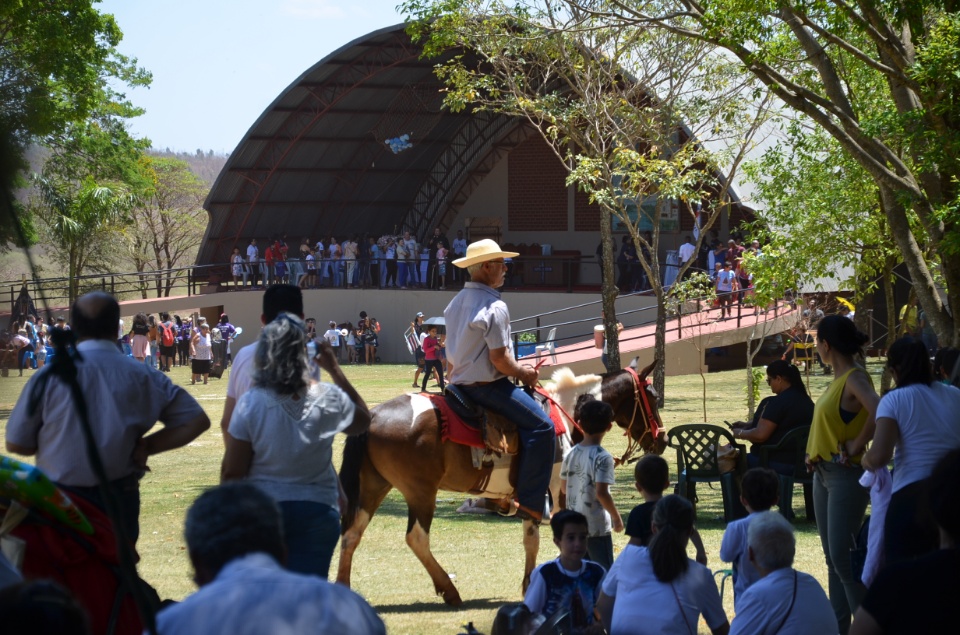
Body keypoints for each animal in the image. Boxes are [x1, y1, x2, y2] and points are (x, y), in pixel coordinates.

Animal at [336, 358, 660, 608]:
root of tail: (373, 415)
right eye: (653, 396)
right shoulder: (554, 492)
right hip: (420, 491)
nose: (660, 438)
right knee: (416, 538)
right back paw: (449, 591)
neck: (566, 415)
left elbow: (532, 538)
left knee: (352, 534)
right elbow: (555, 536)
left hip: (373, 488)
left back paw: (343, 588)